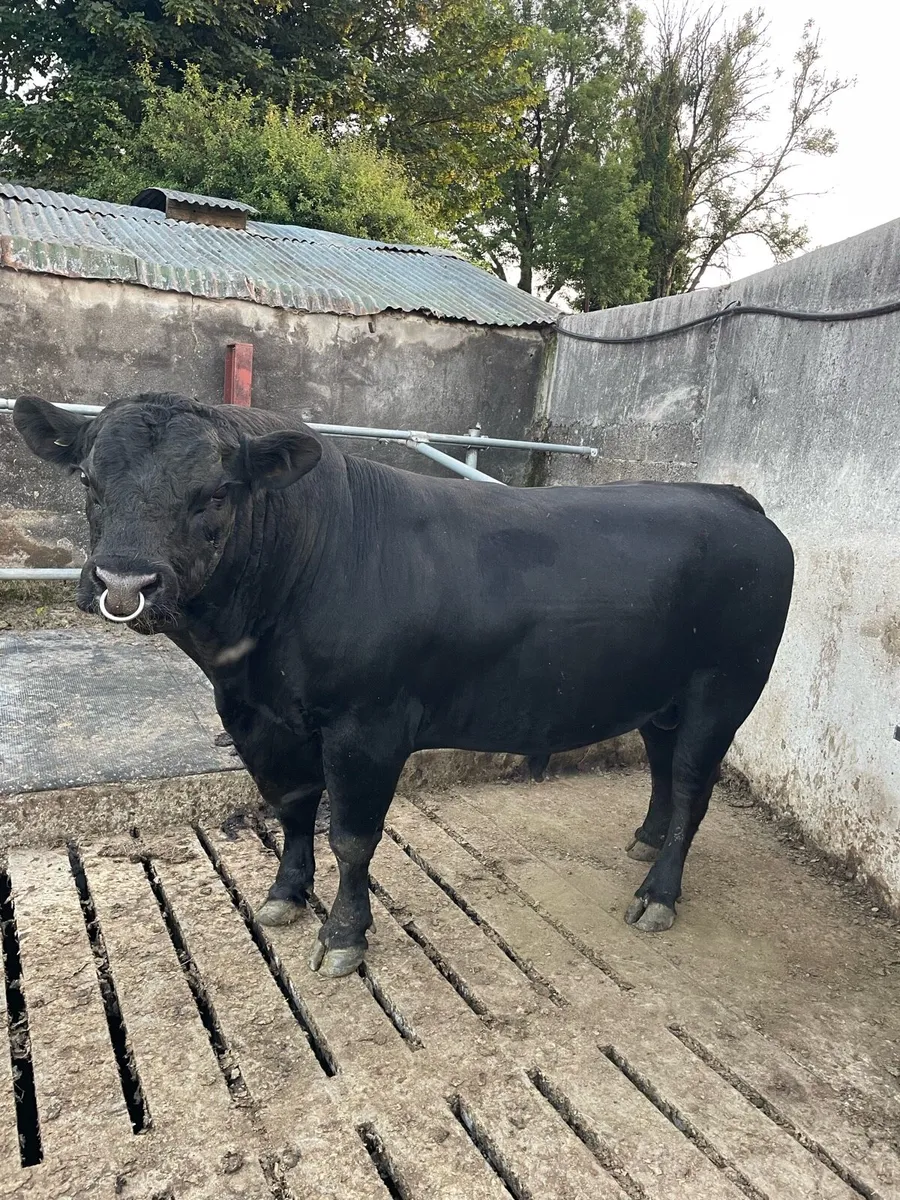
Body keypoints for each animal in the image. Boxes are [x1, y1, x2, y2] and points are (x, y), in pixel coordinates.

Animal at [14, 393, 794, 978]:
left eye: (215, 493)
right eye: (87, 480)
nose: (124, 582)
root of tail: (733, 500)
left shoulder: (369, 727)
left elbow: (353, 837)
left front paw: (343, 938)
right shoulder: (260, 719)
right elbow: (292, 809)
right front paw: (285, 897)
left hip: (724, 692)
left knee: (692, 786)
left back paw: (658, 893)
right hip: (662, 696)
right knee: (663, 767)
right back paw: (645, 840)